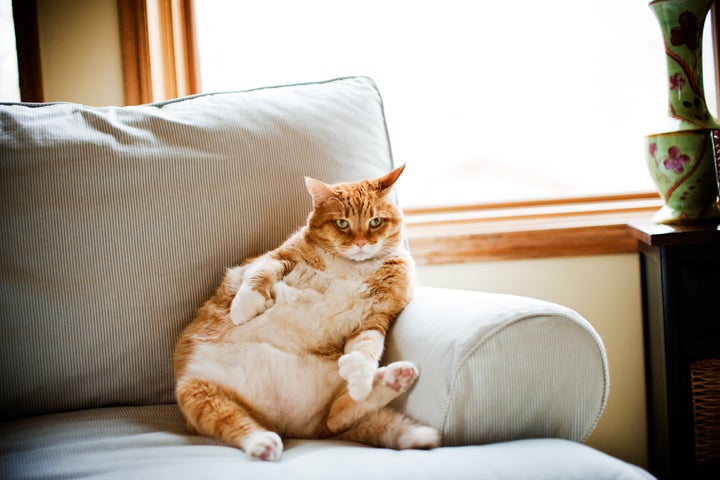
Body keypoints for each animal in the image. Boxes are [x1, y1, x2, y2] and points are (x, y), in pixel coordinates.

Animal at [174, 166, 442, 462]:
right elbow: (258, 275)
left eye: (375, 222)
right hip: (197, 393)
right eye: (342, 224)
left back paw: (394, 379)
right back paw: (263, 443)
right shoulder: (278, 256)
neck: (351, 267)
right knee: (237, 422)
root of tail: (292, 425)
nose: (360, 243)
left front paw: (361, 379)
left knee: (337, 415)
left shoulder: (375, 319)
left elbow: (366, 350)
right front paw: (243, 308)